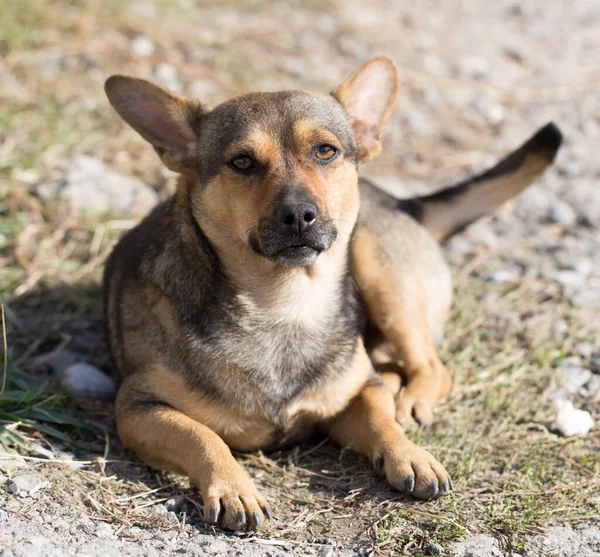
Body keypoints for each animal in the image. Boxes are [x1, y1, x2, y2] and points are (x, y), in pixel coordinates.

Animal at [103, 56, 564, 528]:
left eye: (326, 151)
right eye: (242, 162)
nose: (298, 214)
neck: (284, 305)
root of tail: (405, 203)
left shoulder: (357, 394)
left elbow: (379, 417)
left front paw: (408, 454)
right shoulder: (137, 408)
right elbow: (202, 435)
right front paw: (234, 488)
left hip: (380, 273)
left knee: (431, 367)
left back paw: (409, 401)